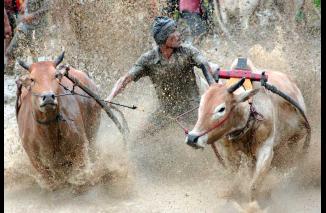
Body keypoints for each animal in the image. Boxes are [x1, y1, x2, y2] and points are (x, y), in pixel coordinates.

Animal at [186, 58, 310, 201]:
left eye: (221, 109)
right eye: (201, 104)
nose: (192, 138)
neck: (249, 115)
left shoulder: (266, 149)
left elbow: (254, 186)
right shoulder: (229, 153)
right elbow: (234, 180)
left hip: (295, 138)